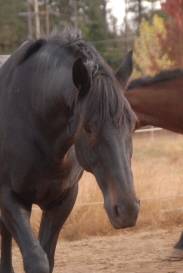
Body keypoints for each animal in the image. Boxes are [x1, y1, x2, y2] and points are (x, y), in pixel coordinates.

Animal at [0, 24, 139, 270]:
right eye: (89, 129)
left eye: (133, 124)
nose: (127, 209)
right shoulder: (9, 196)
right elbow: (36, 259)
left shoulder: (63, 200)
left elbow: (47, 256)